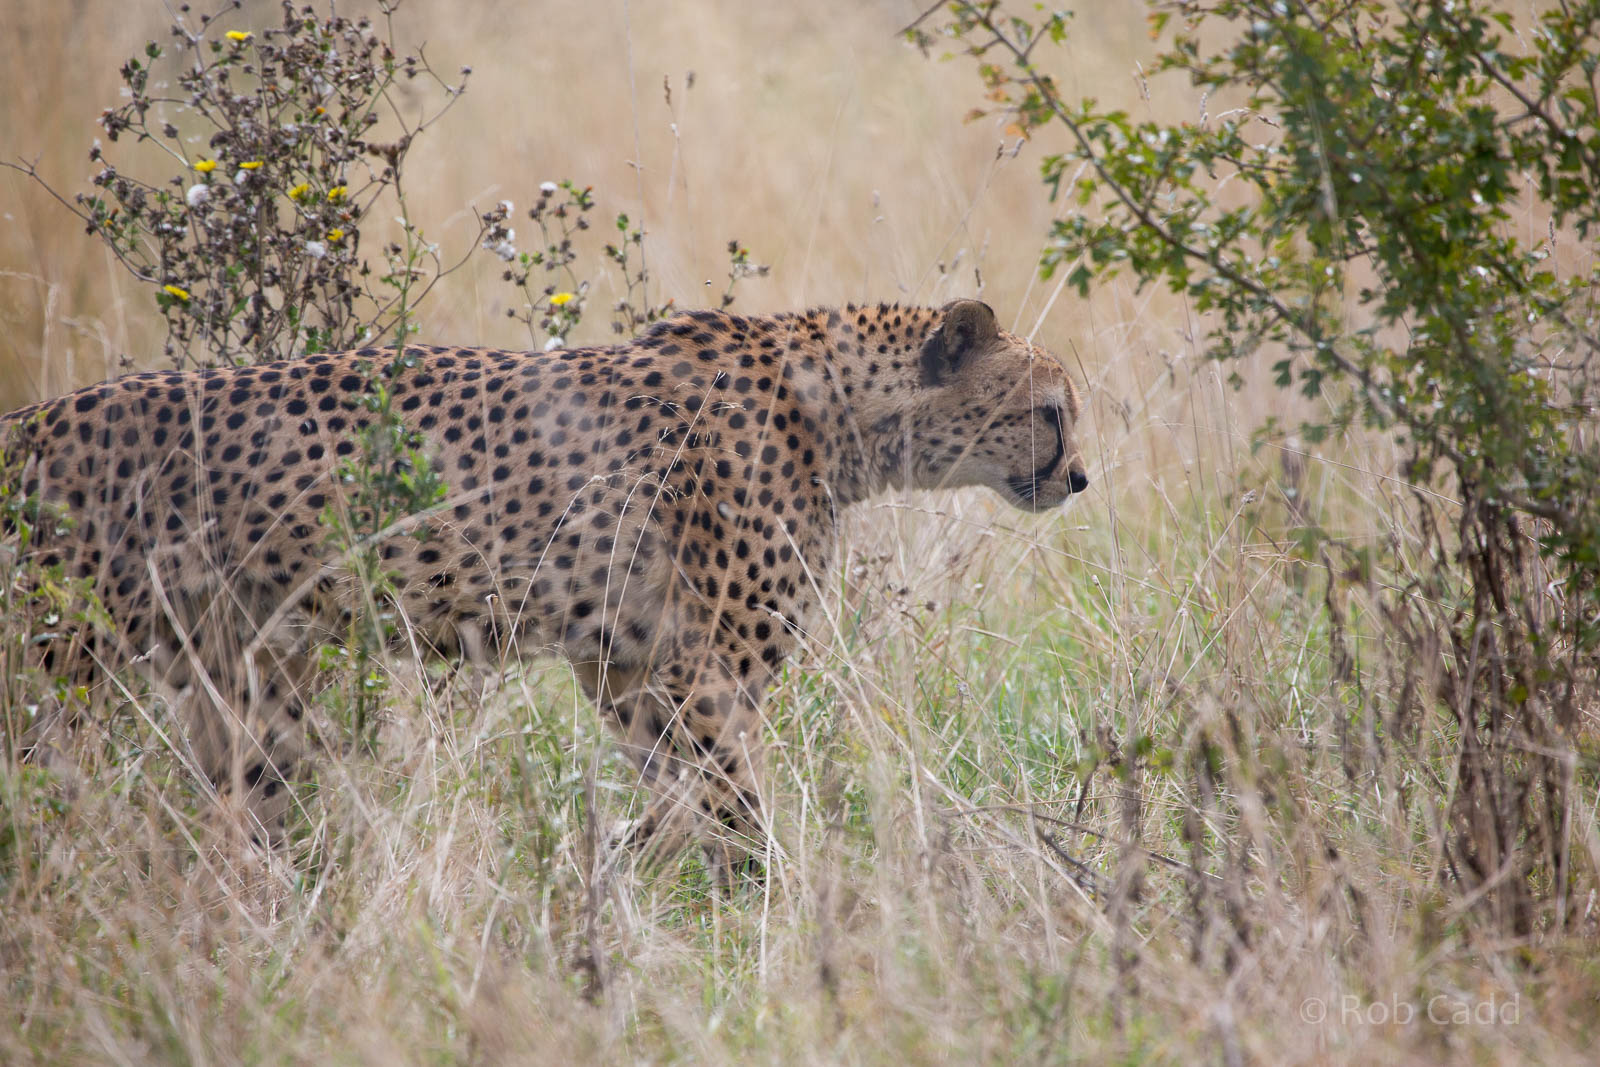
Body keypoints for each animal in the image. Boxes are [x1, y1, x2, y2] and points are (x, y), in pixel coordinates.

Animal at [2, 299, 1088, 882]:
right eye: (1051, 411)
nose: (1081, 479)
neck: (839, 410)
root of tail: (37, 415)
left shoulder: (627, 663)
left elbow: (676, 794)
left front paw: (618, 875)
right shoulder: (702, 671)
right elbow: (726, 800)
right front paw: (755, 901)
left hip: (248, 667)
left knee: (249, 796)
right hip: (67, 668)